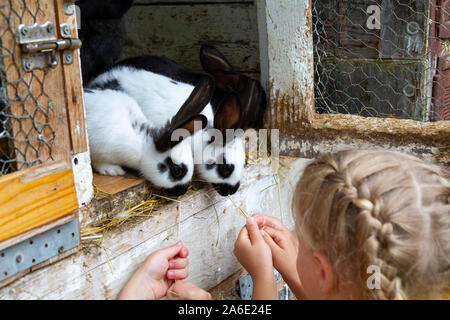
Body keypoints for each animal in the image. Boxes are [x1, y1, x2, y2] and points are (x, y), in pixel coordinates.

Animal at [83, 76, 212, 196]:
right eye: (176, 170)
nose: (183, 191)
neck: (143, 147)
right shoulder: (98, 149)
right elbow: (97, 162)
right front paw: (112, 170)